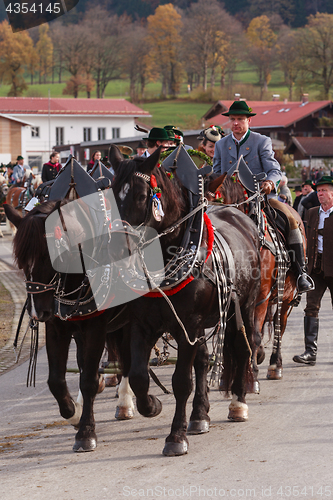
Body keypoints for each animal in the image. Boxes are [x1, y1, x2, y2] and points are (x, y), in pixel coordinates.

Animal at [107, 146, 260, 458]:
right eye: (112, 193)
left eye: (140, 196)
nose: (116, 248)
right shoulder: (143, 325)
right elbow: (139, 375)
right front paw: (151, 405)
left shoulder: (188, 325)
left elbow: (180, 382)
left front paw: (175, 437)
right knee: (202, 360)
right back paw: (200, 415)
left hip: (244, 307)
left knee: (242, 346)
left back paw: (238, 403)